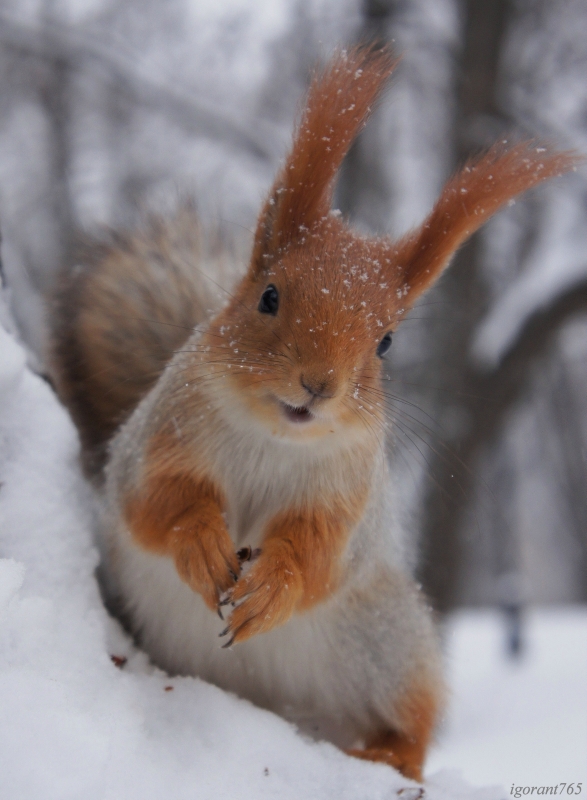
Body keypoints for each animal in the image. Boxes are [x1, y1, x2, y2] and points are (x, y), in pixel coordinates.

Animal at [49, 43, 580, 780]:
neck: (274, 437)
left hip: (390, 647)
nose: (317, 385)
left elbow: (319, 554)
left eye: (386, 341)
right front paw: (201, 540)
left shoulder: (347, 496)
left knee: (414, 719)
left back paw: (388, 753)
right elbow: (157, 502)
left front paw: (274, 584)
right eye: (269, 297)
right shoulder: (158, 442)